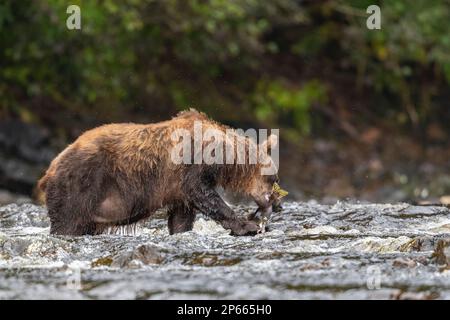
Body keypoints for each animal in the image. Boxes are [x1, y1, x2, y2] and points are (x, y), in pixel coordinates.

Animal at [38, 109, 280, 236]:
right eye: (274, 179)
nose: (278, 205)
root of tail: (50, 168)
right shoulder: (191, 167)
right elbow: (204, 194)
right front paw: (247, 225)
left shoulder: (177, 188)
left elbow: (182, 215)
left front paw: (180, 230)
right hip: (79, 185)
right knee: (68, 222)